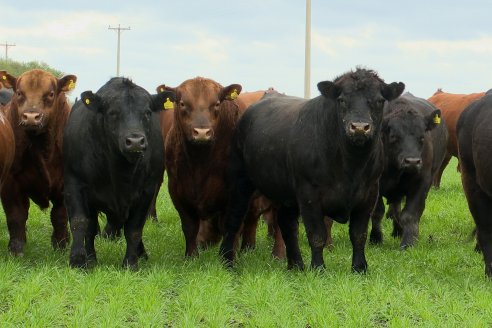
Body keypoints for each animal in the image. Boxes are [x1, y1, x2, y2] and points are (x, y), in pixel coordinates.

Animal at [0, 68, 75, 254]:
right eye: (19, 93)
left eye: (50, 94)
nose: (31, 117)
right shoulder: (10, 185)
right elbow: (16, 216)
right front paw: (16, 248)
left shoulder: (66, 185)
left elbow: (60, 216)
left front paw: (61, 245)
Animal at [63, 77, 173, 270]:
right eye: (113, 113)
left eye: (147, 113)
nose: (135, 141)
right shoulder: (74, 184)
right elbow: (80, 223)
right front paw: (80, 260)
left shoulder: (146, 191)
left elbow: (134, 229)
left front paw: (131, 263)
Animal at [219, 67, 404, 272]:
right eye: (342, 100)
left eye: (379, 101)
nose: (359, 128)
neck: (351, 166)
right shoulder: (309, 194)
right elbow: (317, 235)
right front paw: (318, 269)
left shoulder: (369, 194)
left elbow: (358, 234)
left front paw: (360, 268)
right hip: (240, 179)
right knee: (234, 218)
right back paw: (227, 261)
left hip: (286, 193)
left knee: (287, 224)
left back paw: (296, 265)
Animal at [370, 93, 448, 249]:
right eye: (394, 137)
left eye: (422, 137)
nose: (412, 161)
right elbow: (377, 211)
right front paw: (375, 238)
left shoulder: (422, 183)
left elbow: (410, 214)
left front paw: (409, 241)